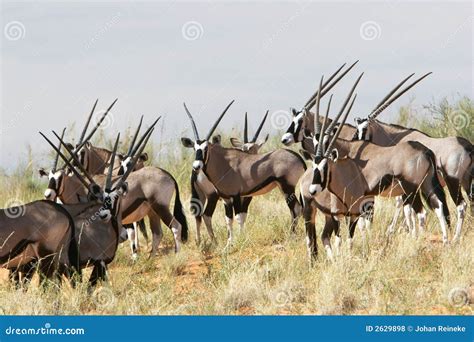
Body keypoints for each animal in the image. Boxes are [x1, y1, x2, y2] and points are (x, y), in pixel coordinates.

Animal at [181, 100, 308, 247]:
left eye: (206, 148)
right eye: (195, 148)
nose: (197, 166)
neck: (223, 162)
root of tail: (298, 158)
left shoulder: (237, 195)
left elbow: (239, 217)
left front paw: (240, 239)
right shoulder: (226, 198)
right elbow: (228, 219)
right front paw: (229, 243)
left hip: (287, 187)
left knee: (296, 209)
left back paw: (291, 236)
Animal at [354, 74, 472, 243]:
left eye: (364, 128)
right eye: (356, 128)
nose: (357, 143)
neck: (396, 137)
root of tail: (468, 147)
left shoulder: (406, 182)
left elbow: (404, 207)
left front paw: (403, 231)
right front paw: (408, 231)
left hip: (453, 181)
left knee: (461, 205)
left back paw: (455, 237)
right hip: (467, 181)